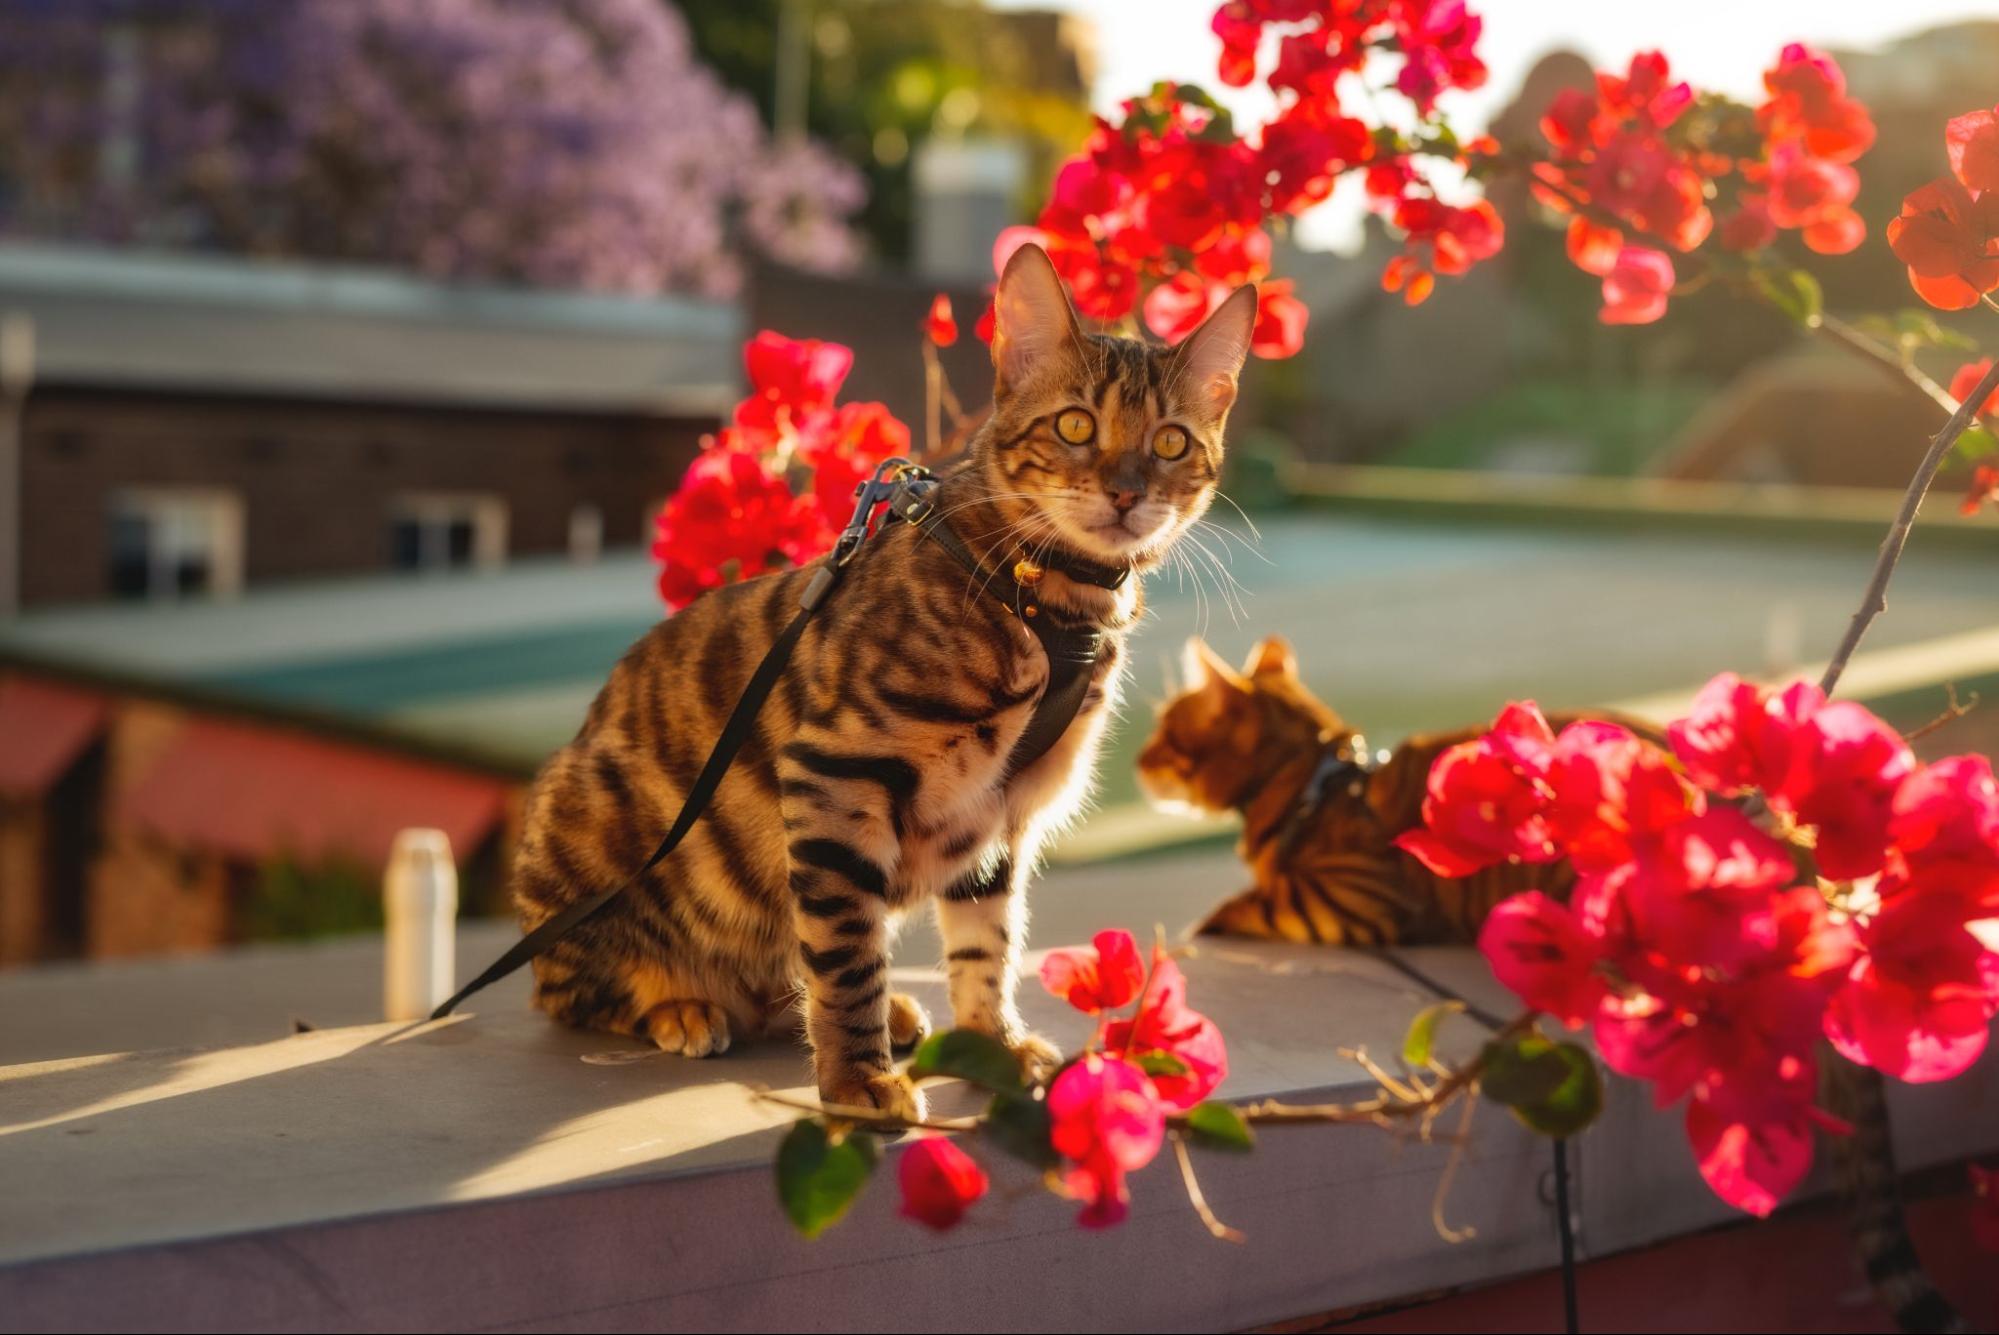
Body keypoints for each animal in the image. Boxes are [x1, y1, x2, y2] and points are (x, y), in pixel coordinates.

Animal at [507, 247, 1255, 1119]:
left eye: (1170, 441)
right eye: (1074, 424)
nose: (1128, 493)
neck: (1050, 601)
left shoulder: (998, 812)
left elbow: (987, 942)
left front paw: (991, 1040)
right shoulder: (835, 773)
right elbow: (845, 954)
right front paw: (856, 1077)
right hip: (587, 828)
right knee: (572, 989)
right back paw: (681, 1004)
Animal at [1135, 635, 1663, 947]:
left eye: (1163, 733)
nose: (1138, 759)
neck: (1312, 786)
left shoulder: (1350, 896)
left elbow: (1245, 901)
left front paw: (1201, 925)